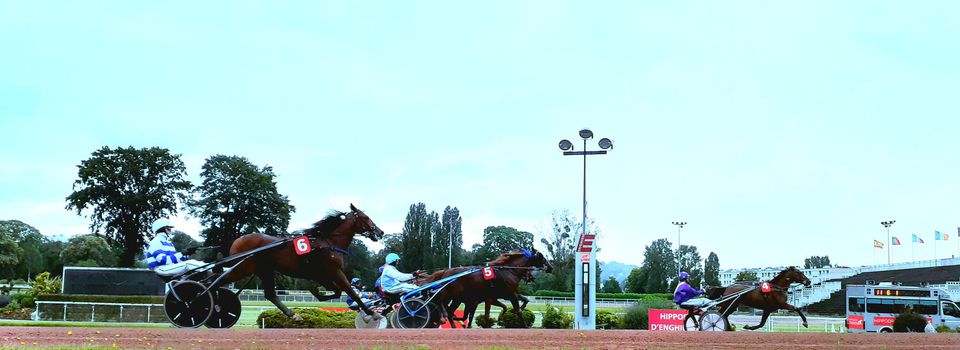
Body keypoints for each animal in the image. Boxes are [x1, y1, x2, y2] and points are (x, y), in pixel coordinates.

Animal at [219, 204, 384, 322]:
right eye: (366, 217)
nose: (380, 232)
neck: (329, 243)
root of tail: (238, 240)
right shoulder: (334, 271)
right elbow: (351, 292)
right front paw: (371, 313)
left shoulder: (322, 275)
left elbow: (337, 292)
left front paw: (316, 293)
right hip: (243, 268)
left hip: (264, 270)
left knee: (271, 294)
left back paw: (293, 315)